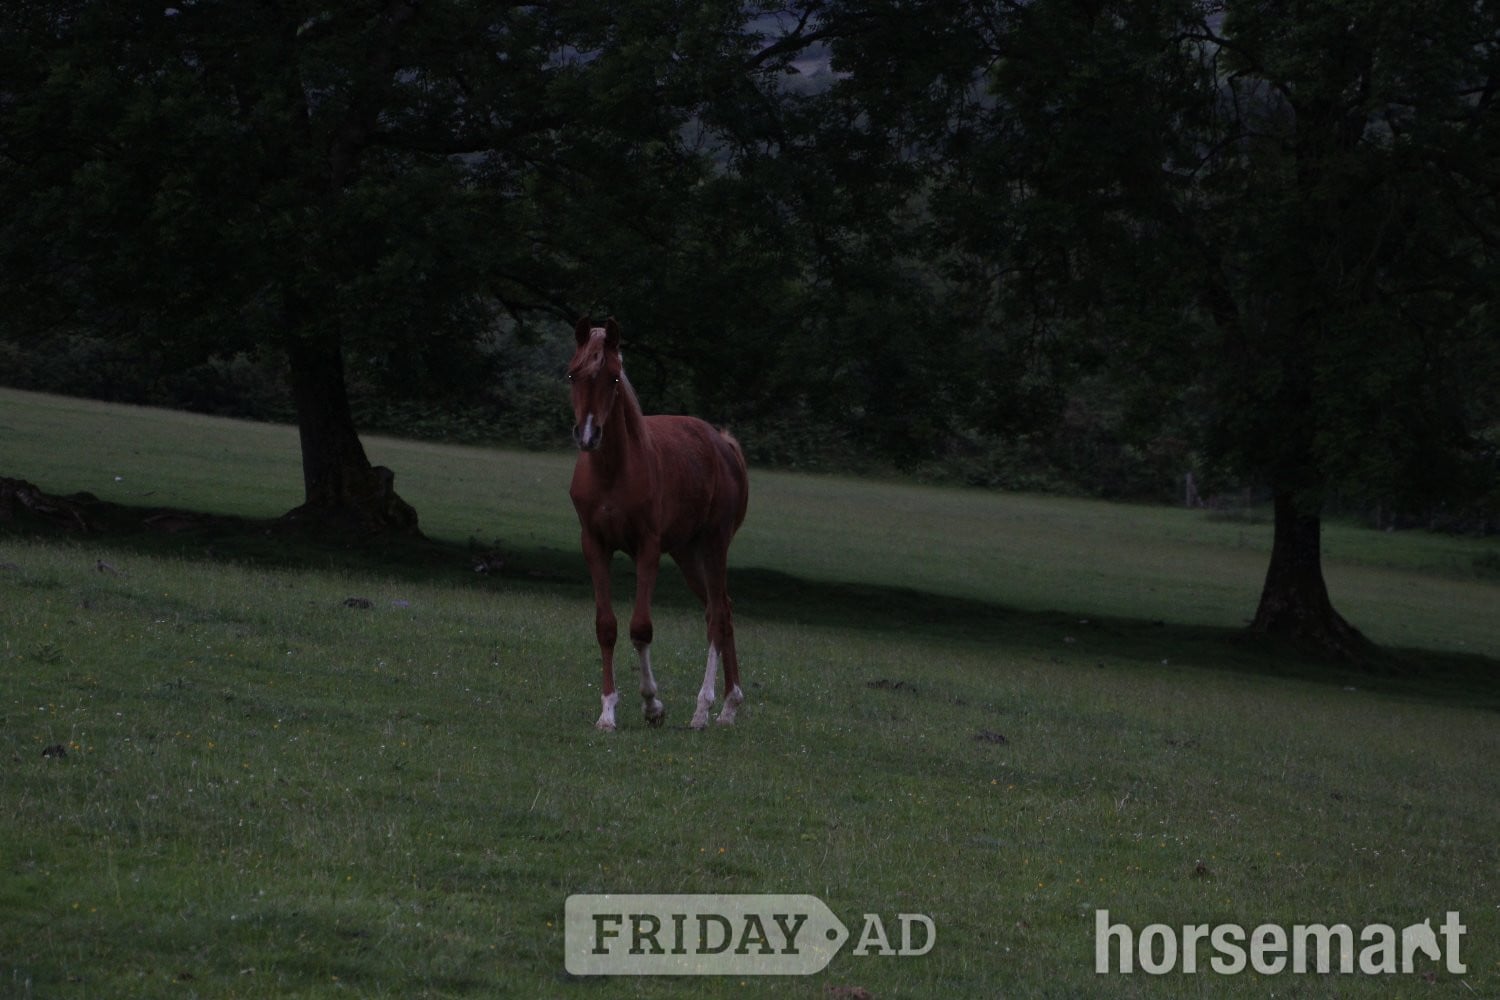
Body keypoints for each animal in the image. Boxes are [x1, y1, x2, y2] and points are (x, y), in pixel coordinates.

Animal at [566, 317, 750, 731]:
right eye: (572, 374)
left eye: (615, 377)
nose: (588, 435)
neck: (613, 470)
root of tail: (723, 444)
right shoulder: (594, 545)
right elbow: (606, 627)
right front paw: (607, 712)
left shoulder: (647, 548)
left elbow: (641, 627)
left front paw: (652, 705)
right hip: (686, 553)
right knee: (722, 608)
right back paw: (729, 706)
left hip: (714, 544)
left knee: (717, 614)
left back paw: (704, 709)